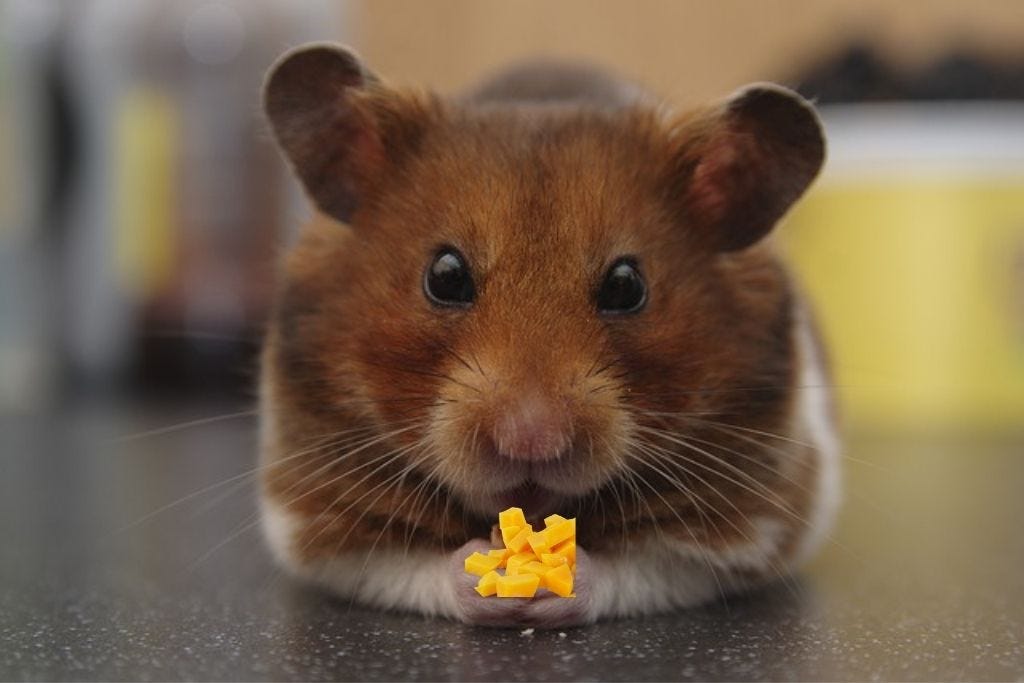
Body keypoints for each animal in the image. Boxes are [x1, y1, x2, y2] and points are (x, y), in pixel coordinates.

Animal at [258, 43, 840, 628]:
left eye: (627, 285)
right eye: (444, 276)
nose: (530, 440)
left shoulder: (755, 525)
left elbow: (640, 567)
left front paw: (551, 579)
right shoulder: (314, 521)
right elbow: (416, 566)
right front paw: (496, 571)